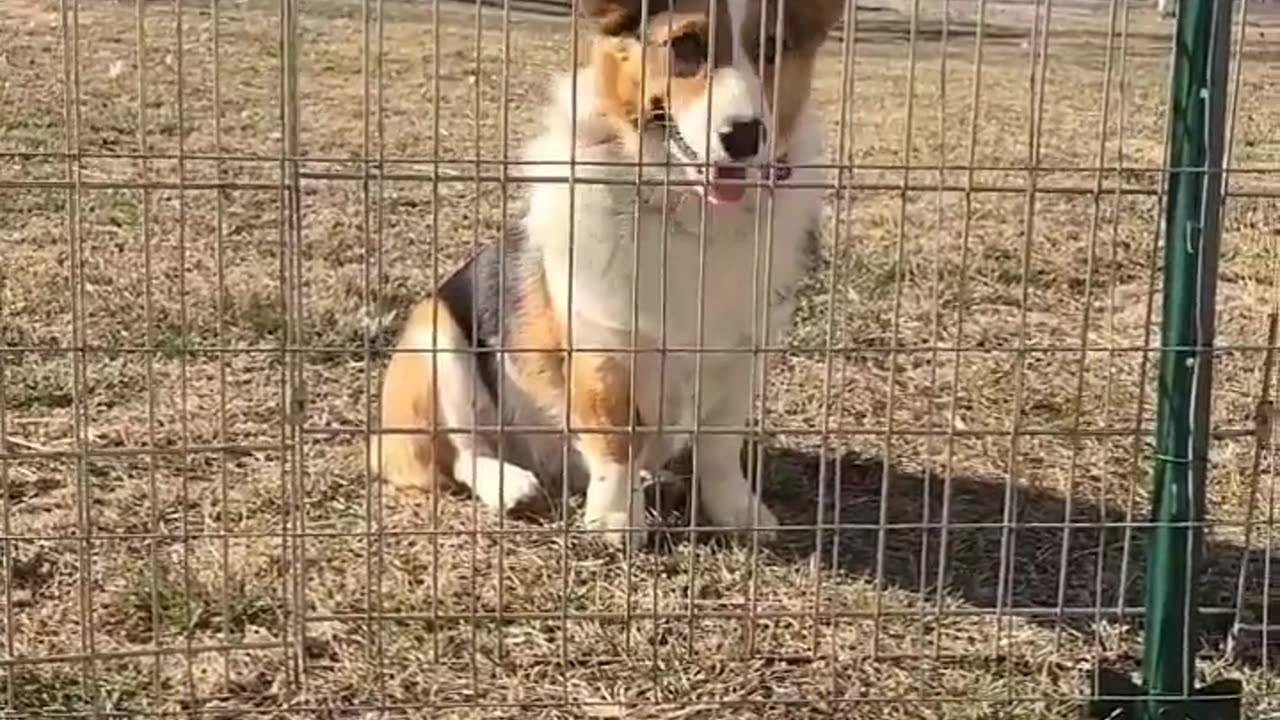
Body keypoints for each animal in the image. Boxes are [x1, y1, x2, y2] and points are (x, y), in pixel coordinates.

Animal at [373, 0, 844, 543]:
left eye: (772, 47)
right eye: (686, 45)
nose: (745, 135)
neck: (688, 213)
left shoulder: (742, 356)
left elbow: (720, 448)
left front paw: (737, 512)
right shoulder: (605, 347)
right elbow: (616, 439)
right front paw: (617, 519)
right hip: (436, 338)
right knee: (464, 452)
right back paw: (513, 486)